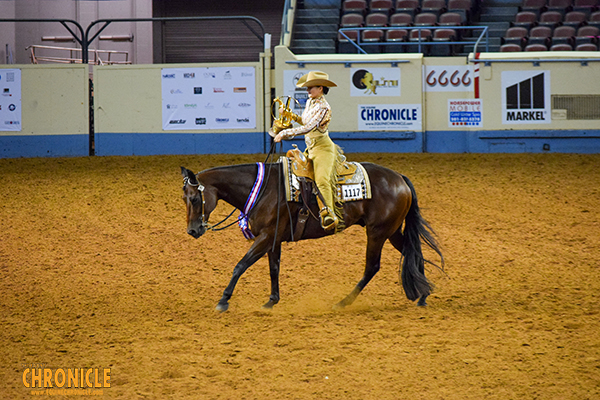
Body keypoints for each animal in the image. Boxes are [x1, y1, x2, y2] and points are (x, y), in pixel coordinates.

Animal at [178, 161, 440, 310]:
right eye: (183, 198)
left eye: (194, 199)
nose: (192, 230)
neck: (264, 188)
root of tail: (400, 178)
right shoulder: (273, 239)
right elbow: (274, 269)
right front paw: (271, 301)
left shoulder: (266, 236)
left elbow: (240, 265)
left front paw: (224, 300)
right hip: (392, 231)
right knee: (412, 251)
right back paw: (423, 296)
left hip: (377, 232)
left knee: (372, 266)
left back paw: (343, 302)